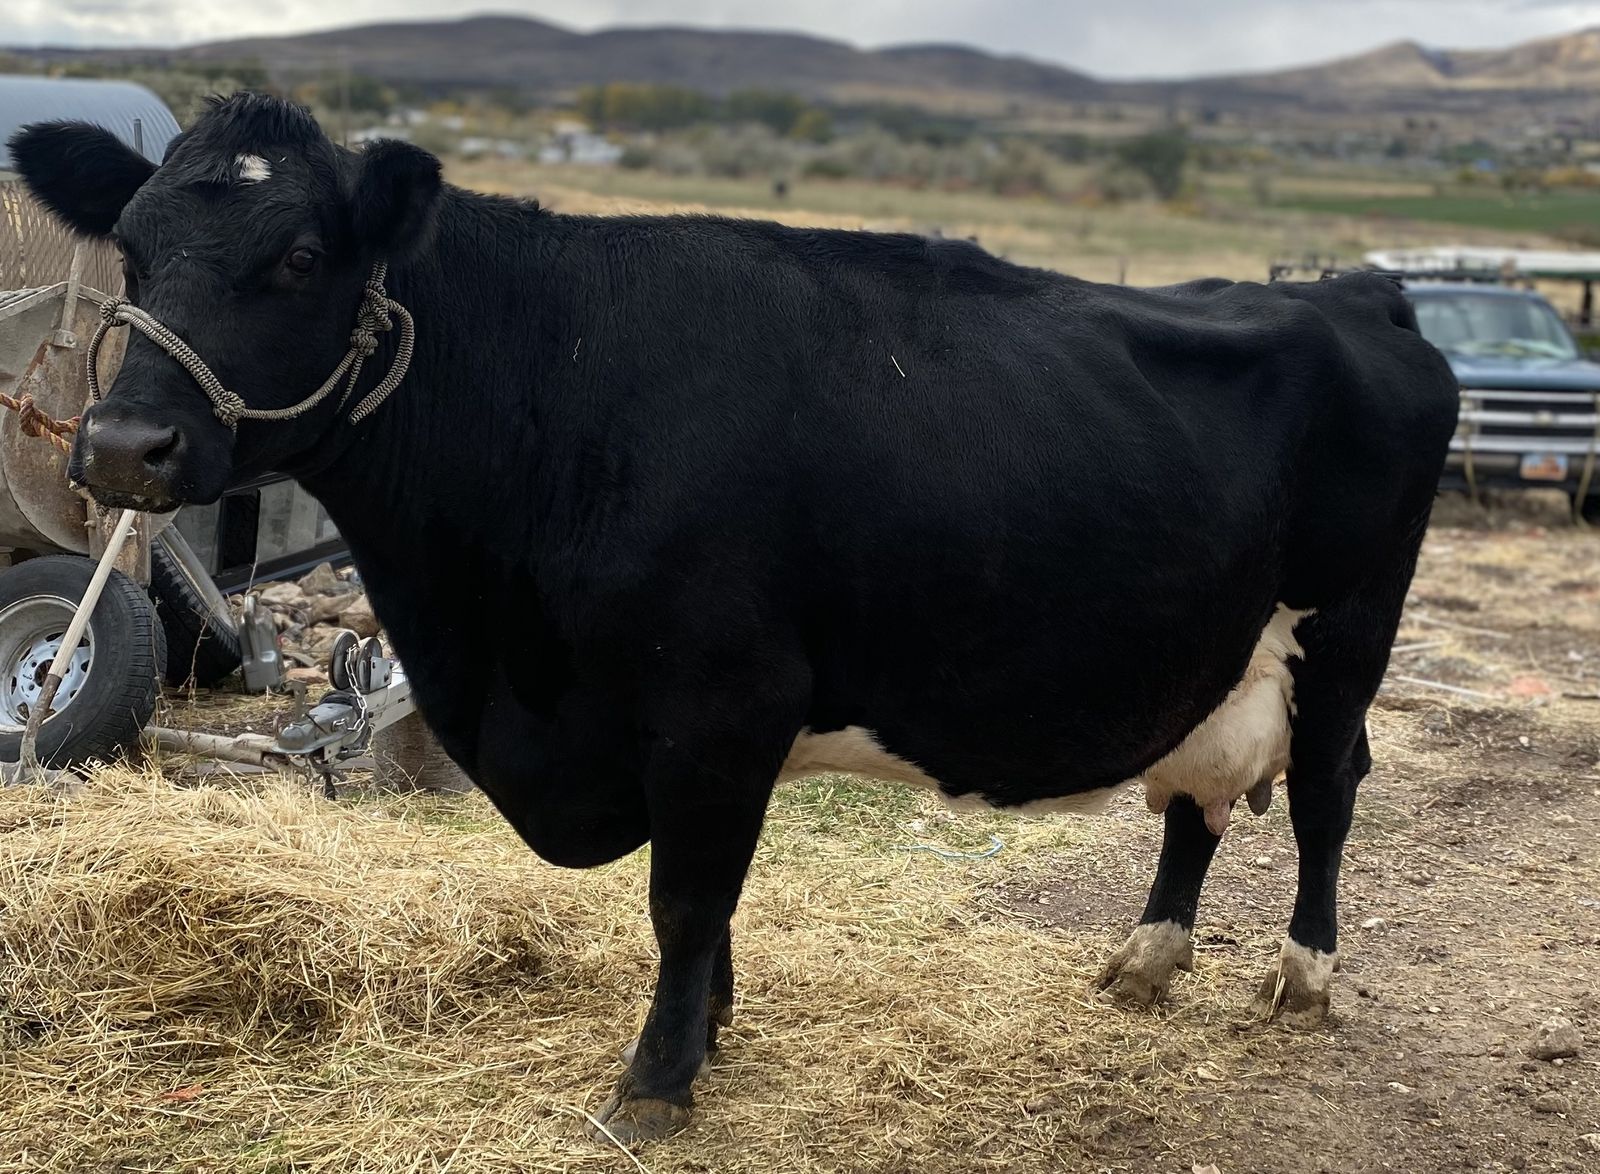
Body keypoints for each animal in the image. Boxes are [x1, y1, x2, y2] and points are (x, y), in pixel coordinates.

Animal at [9, 94, 1457, 1144]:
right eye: (134, 246)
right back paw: (1150, 958)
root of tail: (1350, 290)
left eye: (302, 255)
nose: (123, 445)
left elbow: (686, 896)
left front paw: (657, 1078)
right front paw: (708, 1032)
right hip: (1214, 644)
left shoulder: (719, 705)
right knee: (1196, 791)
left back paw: (1302, 974)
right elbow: (709, 908)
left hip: (1347, 633)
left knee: (1327, 788)